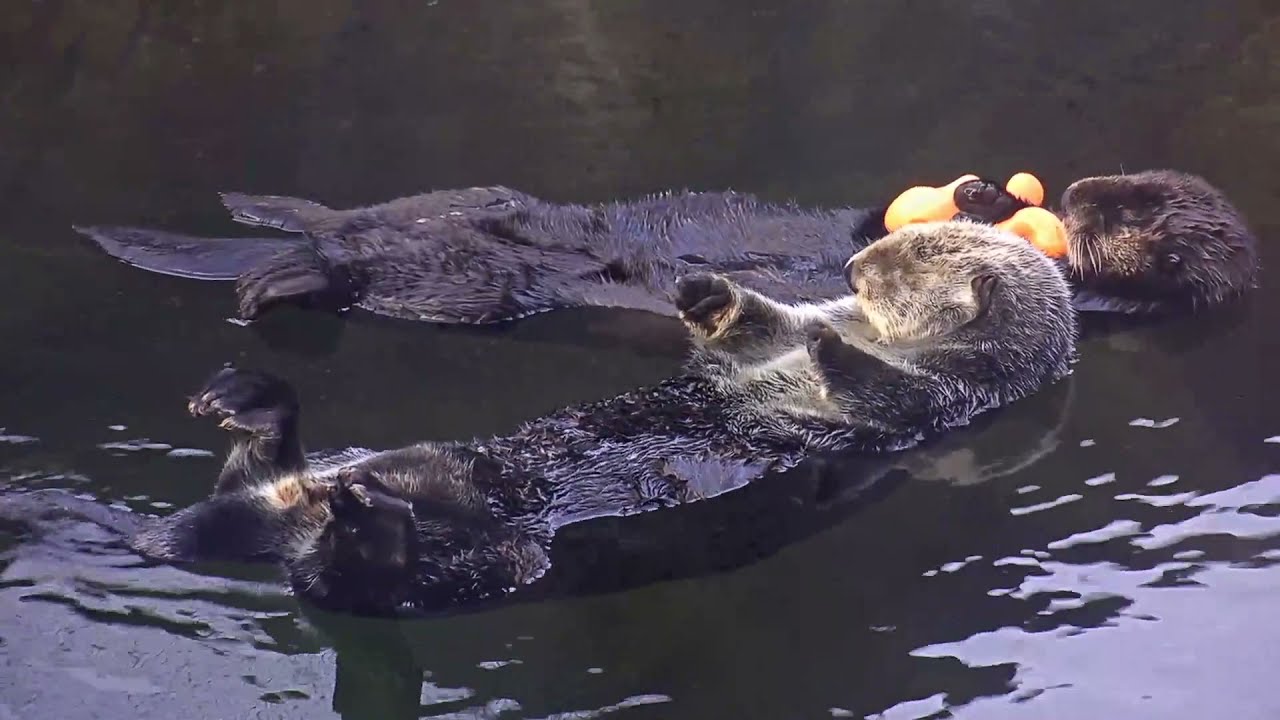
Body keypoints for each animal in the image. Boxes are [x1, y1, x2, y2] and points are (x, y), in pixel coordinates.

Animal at [6, 221, 1074, 616]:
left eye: (912, 259)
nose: (855, 265)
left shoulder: (945, 402)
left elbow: (881, 390)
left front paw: (837, 360)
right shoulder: (778, 338)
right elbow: (754, 331)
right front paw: (710, 293)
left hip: (498, 562)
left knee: (352, 583)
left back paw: (361, 520)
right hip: (334, 484)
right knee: (267, 483)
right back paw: (256, 410)